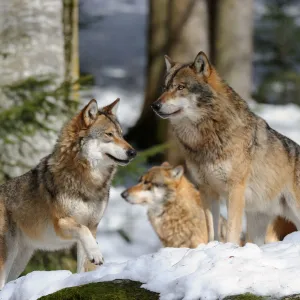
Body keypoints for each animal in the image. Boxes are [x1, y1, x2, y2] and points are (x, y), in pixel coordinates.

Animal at [0, 98, 135, 286]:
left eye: (122, 135)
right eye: (109, 134)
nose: (133, 152)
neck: (88, 182)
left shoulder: (93, 226)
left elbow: (85, 264)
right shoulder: (62, 224)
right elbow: (83, 232)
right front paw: (96, 253)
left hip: (19, 261)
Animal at [152, 51, 300, 246]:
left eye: (180, 87)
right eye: (164, 88)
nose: (154, 105)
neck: (206, 136)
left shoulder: (235, 190)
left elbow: (231, 230)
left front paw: (229, 247)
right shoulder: (207, 190)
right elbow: (211, 229)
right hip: (258, 223)